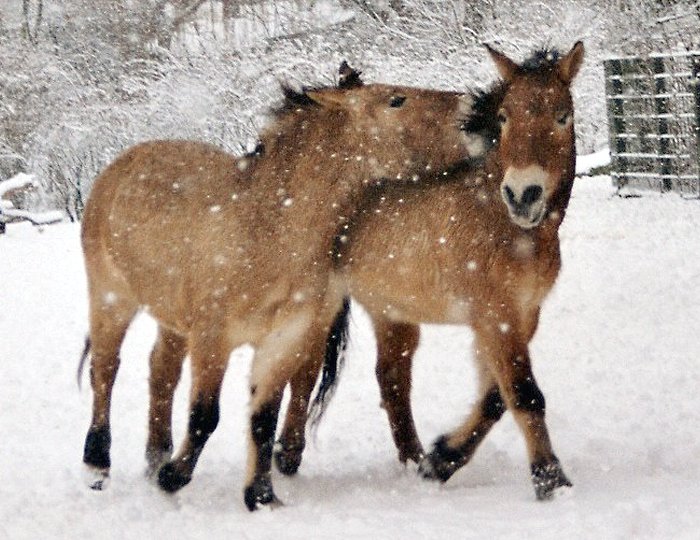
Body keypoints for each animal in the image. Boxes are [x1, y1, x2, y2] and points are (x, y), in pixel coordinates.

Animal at [79, 67, 488, 510]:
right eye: (396, 100)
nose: (474, 108)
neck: (270, 228)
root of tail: (120, 164)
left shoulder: (283, 338)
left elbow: (263, 417)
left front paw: (260, 496)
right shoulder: (212, 338)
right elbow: (206, 415)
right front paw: (174, 478)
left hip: (171, 318)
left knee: (161, 373)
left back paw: (156, 457)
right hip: (111, 298)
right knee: (105, 369)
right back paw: (97, 466)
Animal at [276, 41, 585, 501]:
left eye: (562, 116)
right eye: (505, 117)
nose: (523, 194)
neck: (496, 216)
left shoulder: (522, 315)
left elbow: (496, 398)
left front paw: (442, 460)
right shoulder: (496, 315)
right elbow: (524, 395)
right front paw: (551, 479)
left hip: (392, 311)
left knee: (391, 378)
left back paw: (412, 458)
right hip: (322, 305)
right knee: (305, 369)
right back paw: (287, 455)